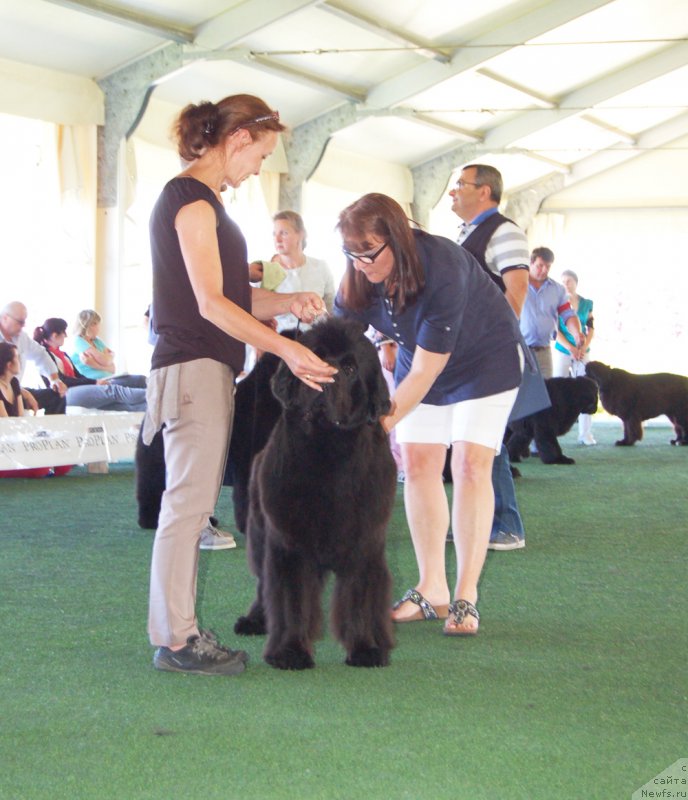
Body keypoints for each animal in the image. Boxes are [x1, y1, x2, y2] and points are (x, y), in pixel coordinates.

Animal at [235, 316, 398, 672]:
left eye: (349, 368)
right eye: (314, 358)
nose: (322, 382)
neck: (328, 455)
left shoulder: (363, 543)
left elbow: (358, 598)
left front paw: (365, 648)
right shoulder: (289, 544)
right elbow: (290, 600)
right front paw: (289, 651)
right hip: (259, 532)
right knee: (263, 582)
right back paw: (254, 620)